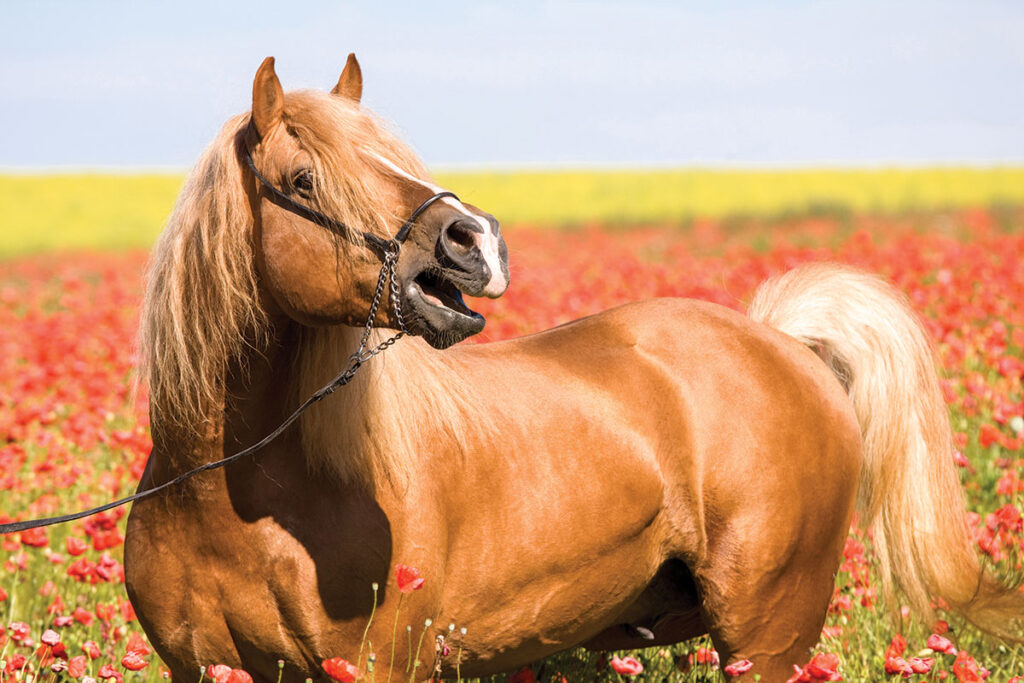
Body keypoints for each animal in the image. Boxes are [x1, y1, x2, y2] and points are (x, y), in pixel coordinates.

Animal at [124, 55, 1023, 682]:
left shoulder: (376, 665)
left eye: (398, 160)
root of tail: (783, 343)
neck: (234, 496)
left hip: (769, 639)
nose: (476, 242)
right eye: (304, 179)